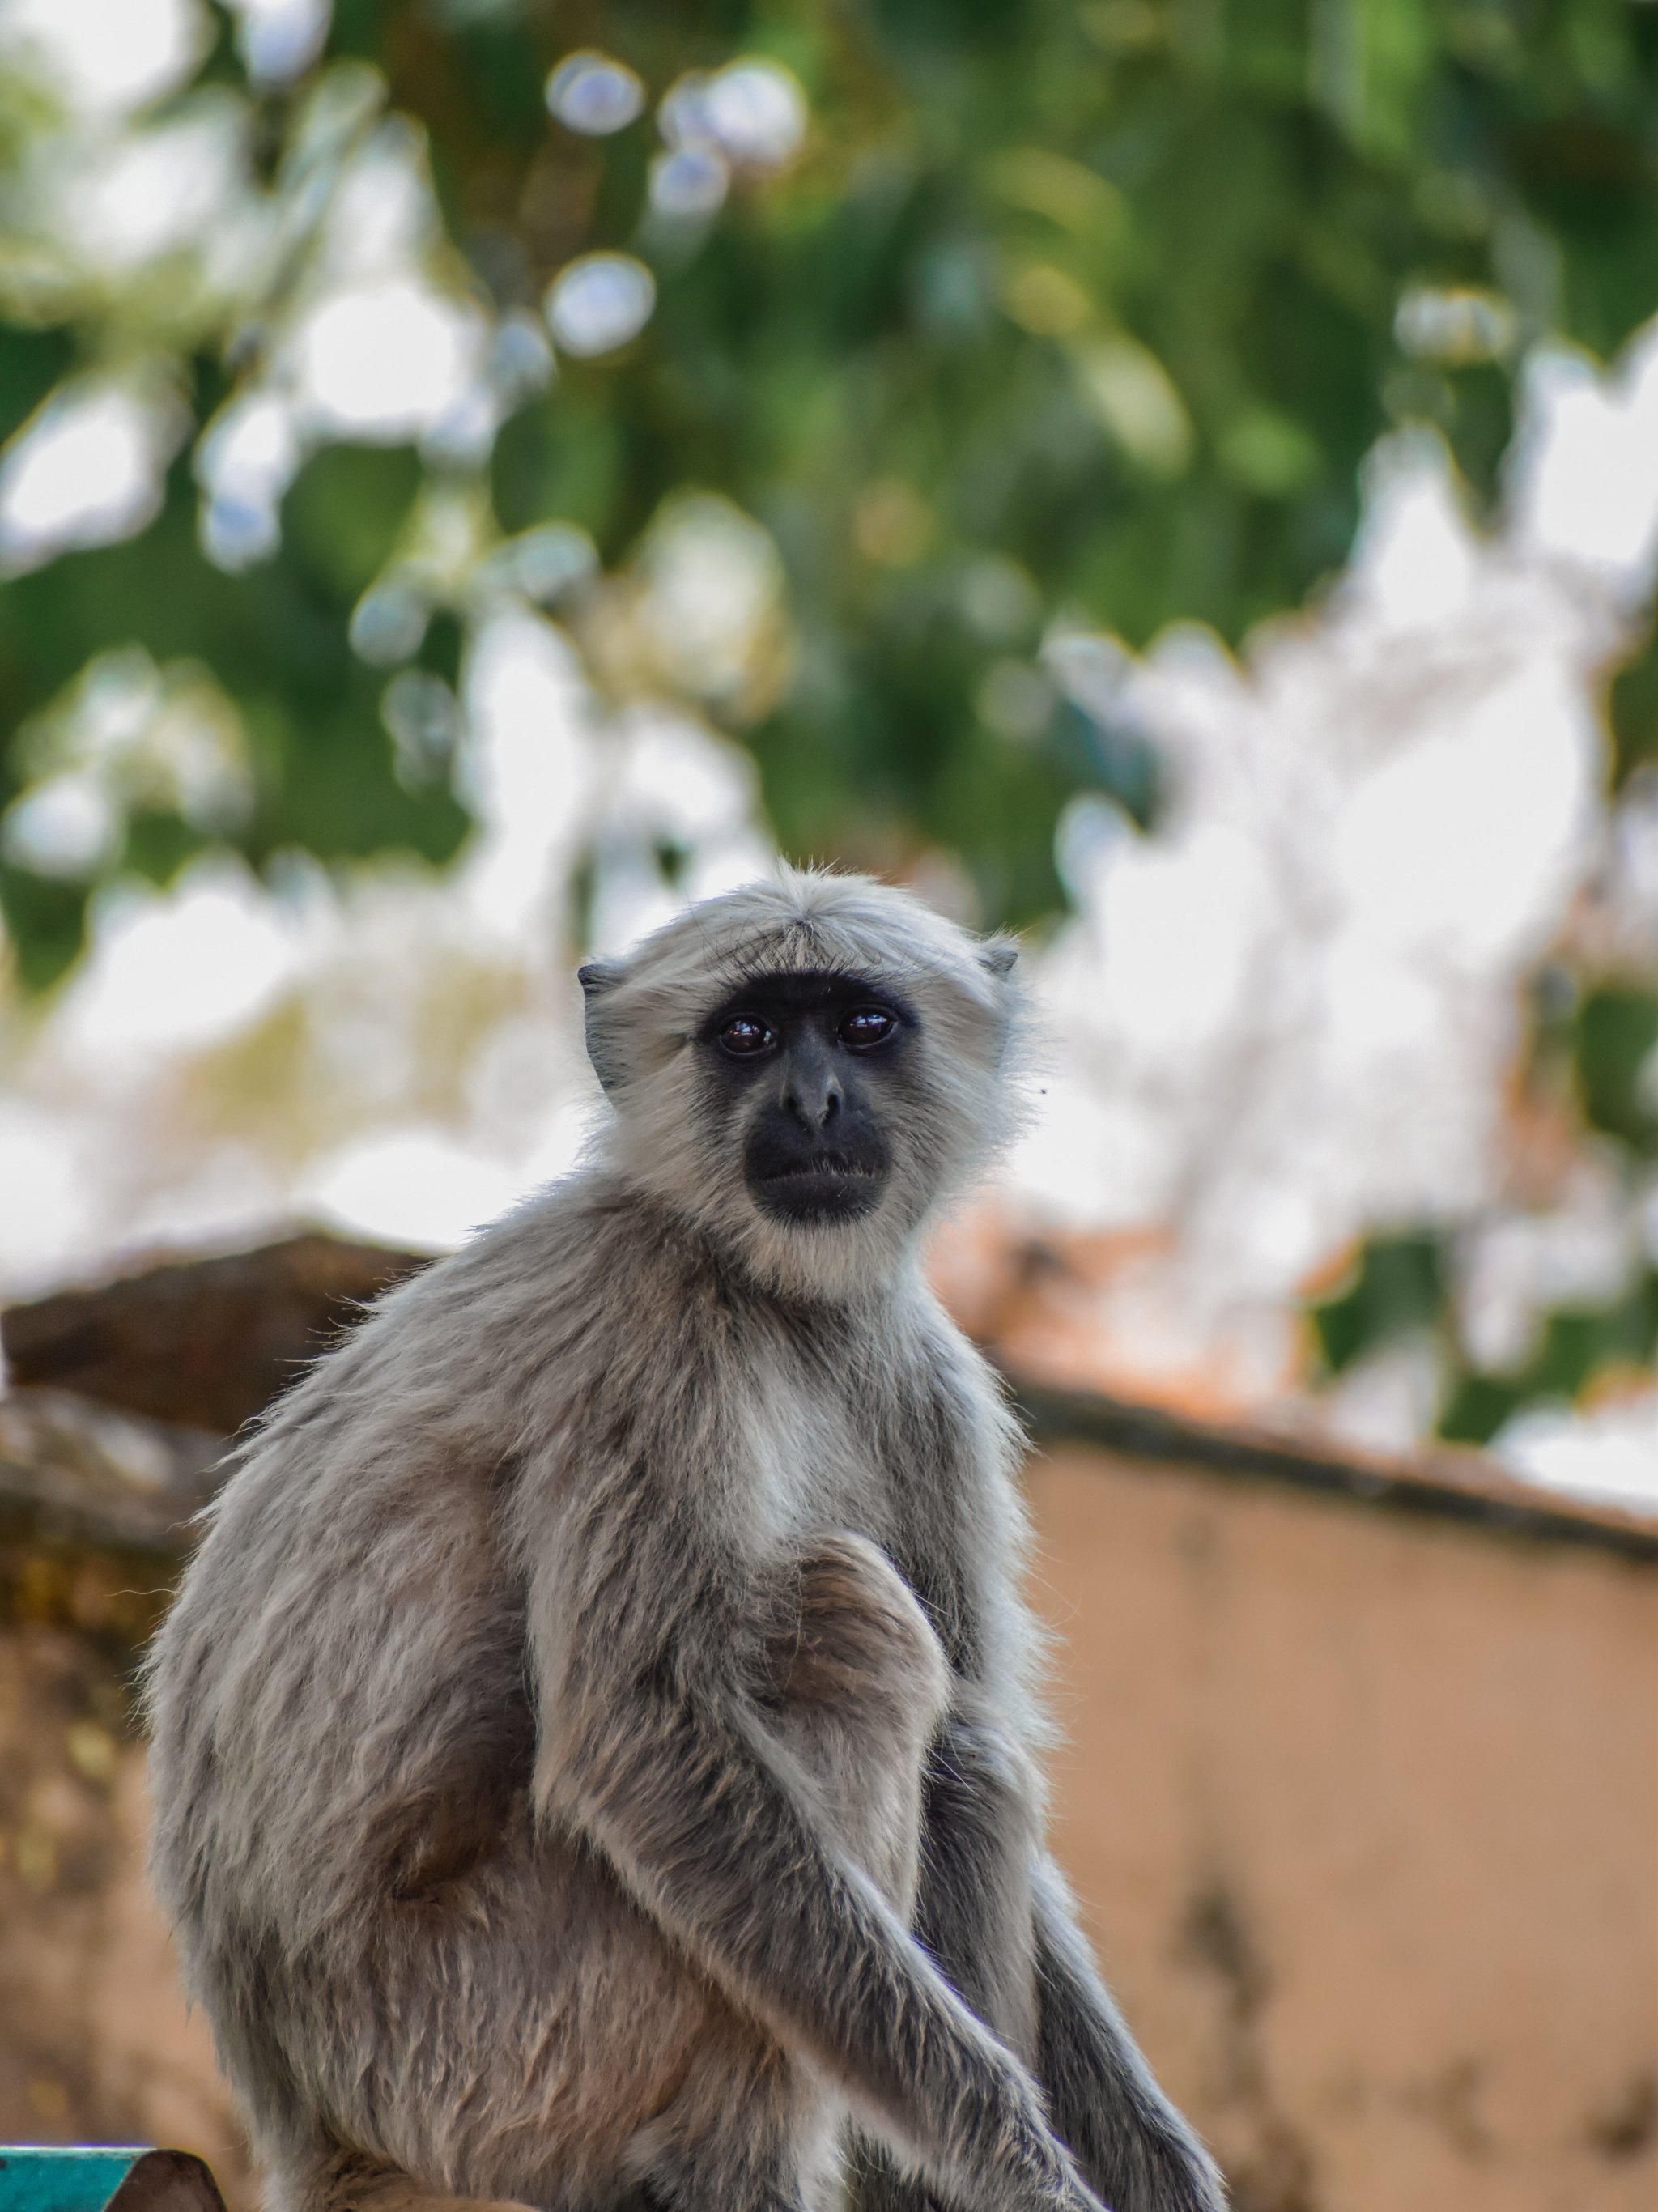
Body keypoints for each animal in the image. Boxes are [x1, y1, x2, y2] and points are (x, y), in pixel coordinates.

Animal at [143, 868, 1225, 2212]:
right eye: (748, 1035)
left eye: (862, 1026)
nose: (812, 1100)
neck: (768, 1295)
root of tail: (317, 2129)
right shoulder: (647, 1331)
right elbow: (645, 1744)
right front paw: (1015, 2169)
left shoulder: (924, 1377)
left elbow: (970, 1717)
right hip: (487, 2047)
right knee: (844, 1628)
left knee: (965, 1747)